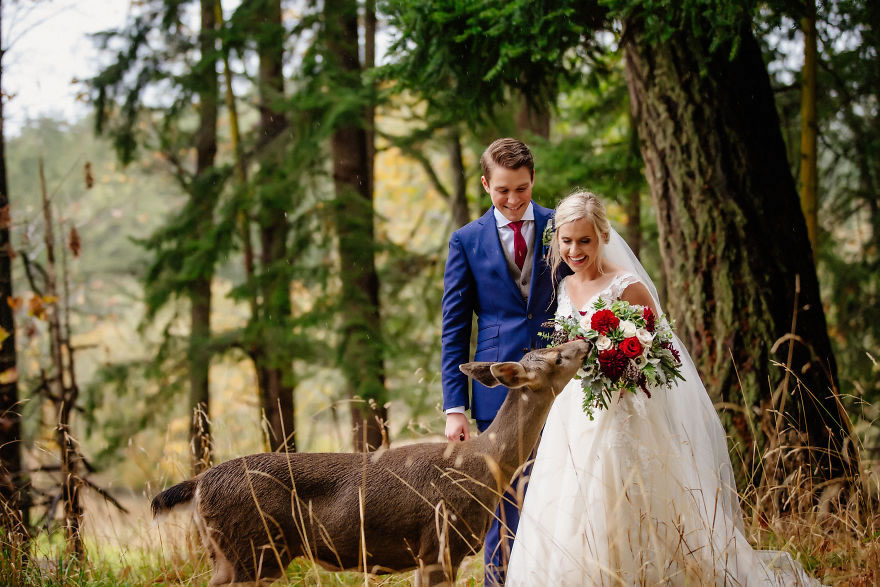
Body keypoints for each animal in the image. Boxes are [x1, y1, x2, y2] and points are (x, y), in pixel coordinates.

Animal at [152, 338, 592, 584]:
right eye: (556, 359)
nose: (585, 343)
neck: (484, 466)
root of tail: (199, 483)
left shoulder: (429, 554)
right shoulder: (438, 543)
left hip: (229, 553)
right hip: (254, 548)